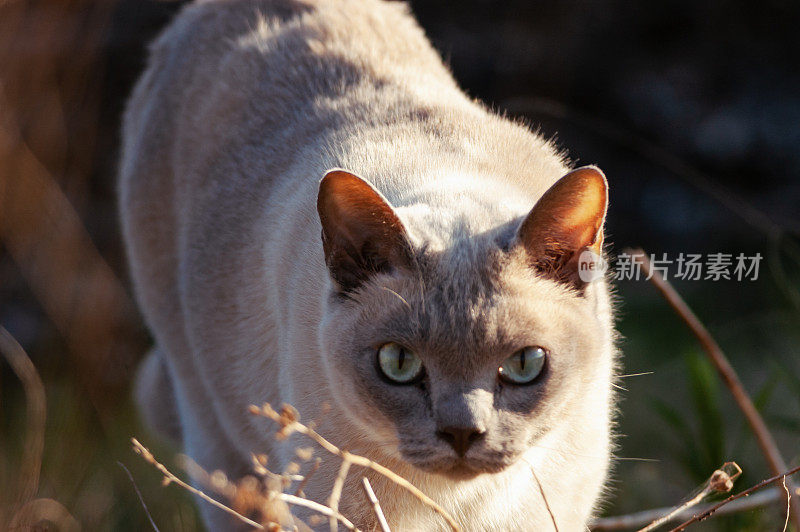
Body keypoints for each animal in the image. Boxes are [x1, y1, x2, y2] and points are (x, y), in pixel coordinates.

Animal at [120, 2, 620, 528]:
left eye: (525, 364)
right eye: (398, 363)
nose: (462, 433)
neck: (459, 504)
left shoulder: (547, 512)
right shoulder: (341, 509)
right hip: (219, 439)